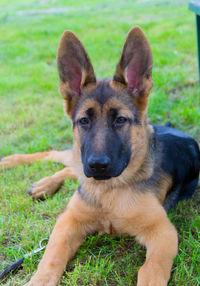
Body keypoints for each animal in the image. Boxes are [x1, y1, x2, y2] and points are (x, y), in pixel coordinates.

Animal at [0, 25, 200, 284]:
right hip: (78, 158)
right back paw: (18, 168)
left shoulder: (163, 232)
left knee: (68, 166)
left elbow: (151, 271)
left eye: (121, 120)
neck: (108, 192)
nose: (97, 166)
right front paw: (39, 279)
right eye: (84, 121)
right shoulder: (69, 221)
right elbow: (51, 257)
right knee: (60, 158)